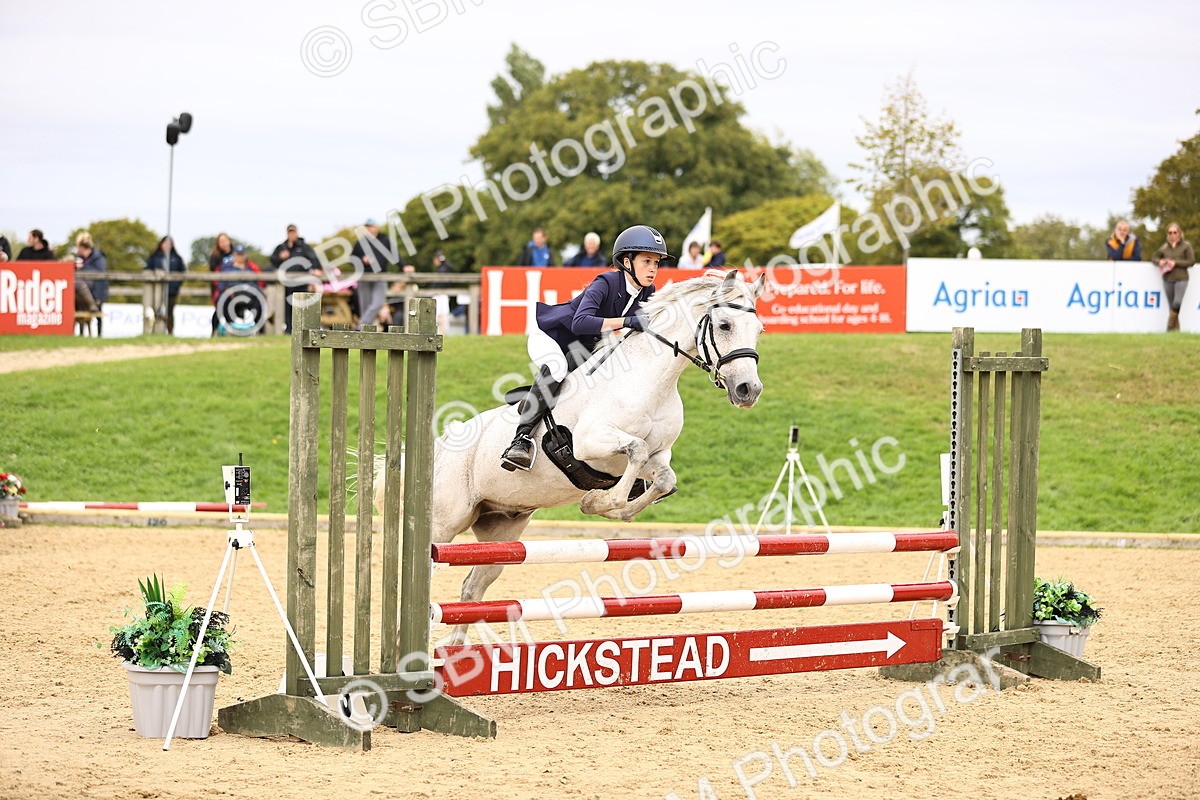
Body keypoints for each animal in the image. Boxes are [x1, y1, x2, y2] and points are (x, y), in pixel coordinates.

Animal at [380, 270, 766, 643]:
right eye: (724, 325)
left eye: (759, 329)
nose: (748, 390)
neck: (653, 379)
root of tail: (443, 442)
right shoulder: (590, 443)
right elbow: (634, 452)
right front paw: (597, 502)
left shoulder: (658, 455)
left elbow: (662, 477)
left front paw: (617, 508)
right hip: (444, 523)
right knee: (428, 570)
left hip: (502, 532)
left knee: (472, 586)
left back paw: (454, 650)